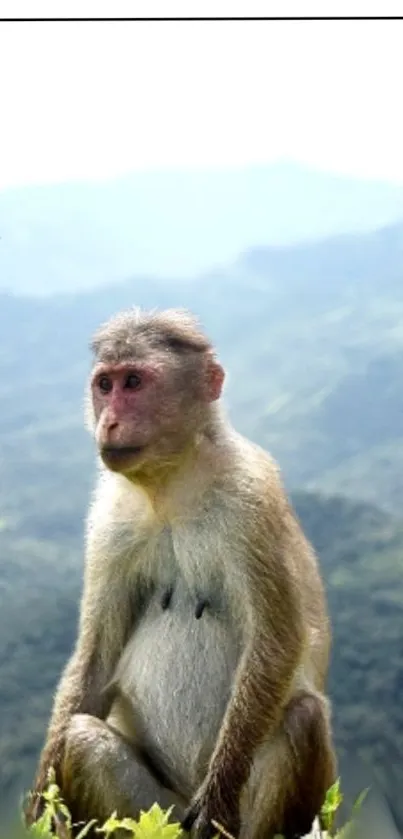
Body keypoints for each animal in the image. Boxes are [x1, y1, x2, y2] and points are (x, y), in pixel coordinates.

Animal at [23, 308, 336, 839]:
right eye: (104, 385)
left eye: (133, 382)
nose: (109, 420)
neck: (170, 484)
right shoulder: (110, 520)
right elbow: (97, 657)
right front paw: (44, 805)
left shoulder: (252, 497)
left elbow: (276, 640)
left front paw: (219, 791)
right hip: (158, 815)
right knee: (82, 739)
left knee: (305, 718)